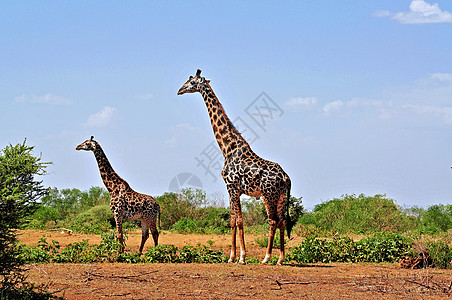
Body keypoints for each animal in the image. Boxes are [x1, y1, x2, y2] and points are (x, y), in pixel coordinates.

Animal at [178, 69, 292, 264]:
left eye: (192, 82)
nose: (179, 90)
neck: (227, 149)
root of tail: (285, 177)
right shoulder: (233, 189)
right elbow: (232, 221)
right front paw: (231, 257)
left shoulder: (231, 186)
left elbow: (238, 221)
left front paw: (242, 257)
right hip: (280, 196)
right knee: (282, 221)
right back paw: (280, 259)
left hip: (268, 194)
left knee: (272, 221)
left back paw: (266, 258)